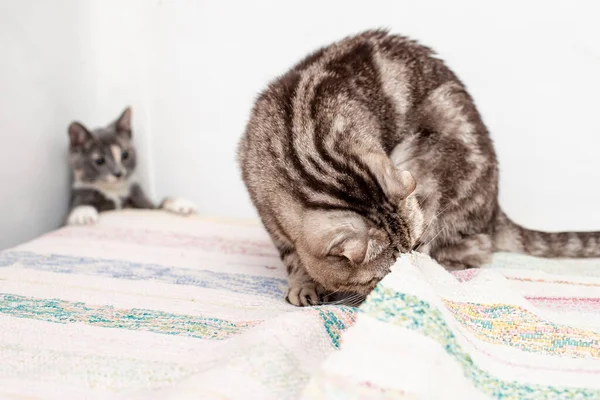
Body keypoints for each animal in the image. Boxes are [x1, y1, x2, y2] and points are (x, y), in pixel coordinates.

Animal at [65, 106, 197, 225]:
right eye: (99, 161)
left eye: (125, 154)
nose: (118, 173)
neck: (114, 192)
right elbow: (78, 208)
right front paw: (83, 213)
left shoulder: (146, 206)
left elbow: (160, 204)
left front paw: (179, 203)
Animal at [238, 30, 600, 306]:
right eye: (386, 271)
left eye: (412, 247)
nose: (410, 271)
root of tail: (496, 211)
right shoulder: (265, 209)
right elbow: (291, 256)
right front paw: (304, 283)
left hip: (428, 151)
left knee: (473, 250)